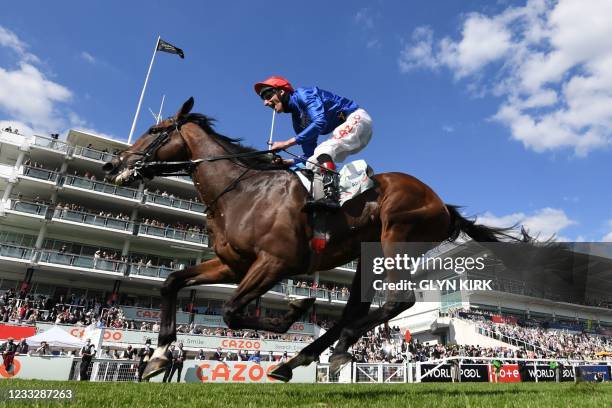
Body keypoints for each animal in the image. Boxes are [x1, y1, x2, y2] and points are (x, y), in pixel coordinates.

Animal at [104, 97, 524, 380]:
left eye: (155, 131)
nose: (112, 164)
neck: (241, 192)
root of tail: (443, 204)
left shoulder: (274, 263)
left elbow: (233, 311)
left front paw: (295, 310)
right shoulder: (233, 263)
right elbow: (172, 283)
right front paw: (159, 355)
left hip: (397, 235)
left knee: (395, 302)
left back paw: (326, 350)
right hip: (369, 253)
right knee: (356, 308)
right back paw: (305, 357)